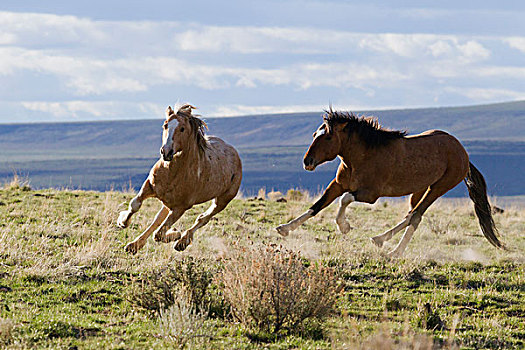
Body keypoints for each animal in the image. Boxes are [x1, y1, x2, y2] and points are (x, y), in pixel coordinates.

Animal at [117, 102, 242, 253]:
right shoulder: (149, 186)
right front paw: (122, 222)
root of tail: (234, 153)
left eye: (182, 128)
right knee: (158, 220)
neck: (172, 173)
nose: (166, 152)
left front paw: (176, 235)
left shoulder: (181, 207)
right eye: (165, 125)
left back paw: (182, 242)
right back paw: (134, 245)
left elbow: (159, 234)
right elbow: (135, 204)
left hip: (222, 200)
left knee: (203, 218)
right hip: (168, 202)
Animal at [274, 109, 504, 258]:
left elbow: (344, 199)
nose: (307, 162)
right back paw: (380, 239)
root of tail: (463, 153)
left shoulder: (370, 195)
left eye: (328, 137)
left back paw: (394, 252)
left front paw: (344, 227)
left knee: (416, 216)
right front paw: (284, 228)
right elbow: (317, 206)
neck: (361, 157)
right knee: (410, 215)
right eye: (315, 134)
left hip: (438, 188)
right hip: (419, 189)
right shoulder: (337, 185)